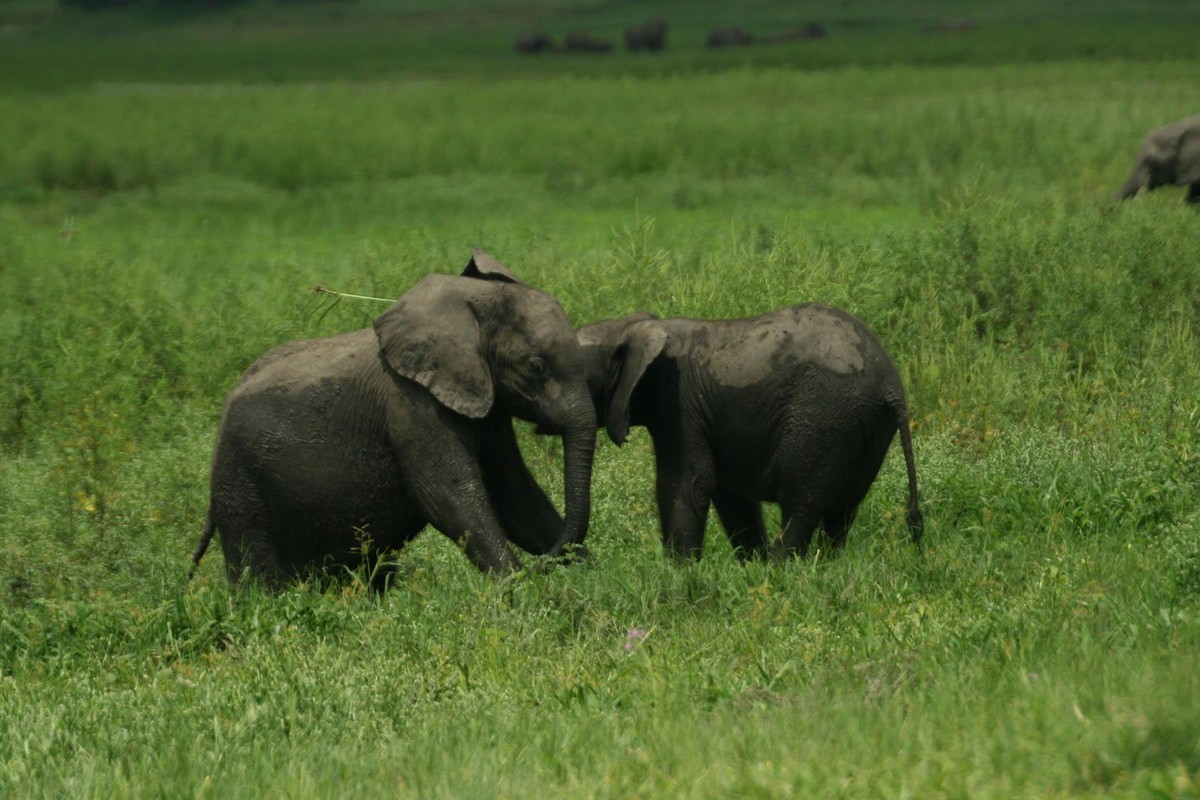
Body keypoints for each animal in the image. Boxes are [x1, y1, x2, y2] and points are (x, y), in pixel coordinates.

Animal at [188, 253, 595, 592]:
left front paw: (593, 575)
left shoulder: (486, 403)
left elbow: (514, 496)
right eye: (536, 366)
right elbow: (451, 499)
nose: (545, 565)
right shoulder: (412, 405)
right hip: (240, 483)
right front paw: (521, 590)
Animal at [576, 307, 921, 563]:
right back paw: (825, 566)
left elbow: (684, 484)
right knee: (844, 508)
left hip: (824, 417)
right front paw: (750, 566)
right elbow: (731, 497)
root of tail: (891, 382)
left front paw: (679, 573)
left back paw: (782, 570)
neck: (628, 327)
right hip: (864, 426)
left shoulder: (678, 403)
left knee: (803, 503)